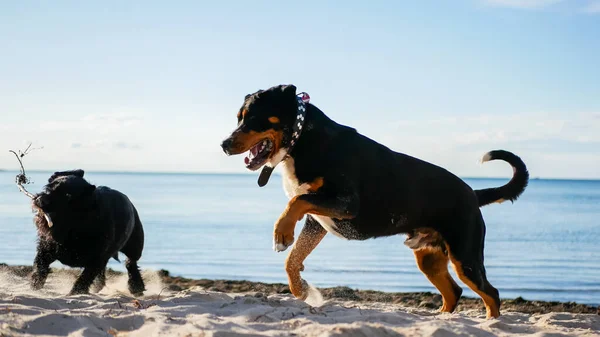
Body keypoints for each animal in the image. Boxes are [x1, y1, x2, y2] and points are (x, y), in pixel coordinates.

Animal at [221, 84, 528, 318]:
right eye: (238, 118)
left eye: (253, 118)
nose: (224, 144)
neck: (303, 139)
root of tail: (472, 193)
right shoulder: (318, 220)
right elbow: (292, 259)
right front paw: (303, 289)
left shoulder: (345, 202)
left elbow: (296, 201)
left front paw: (282, 233)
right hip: (429, 258)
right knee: (454, 292)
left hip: (465, 256)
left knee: (491, 294)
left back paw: (490, 323)